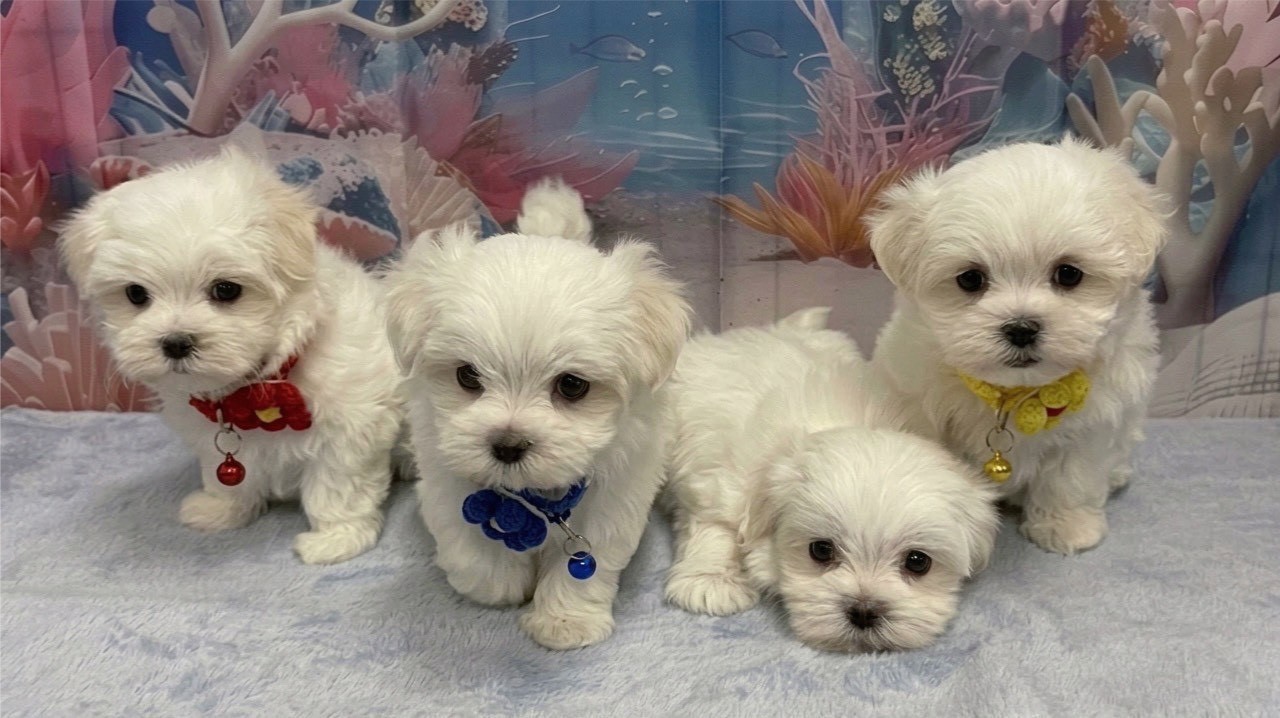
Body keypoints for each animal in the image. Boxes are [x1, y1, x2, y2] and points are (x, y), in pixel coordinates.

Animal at [58, 146, 403, 565]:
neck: (257, 390)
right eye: (136, 294)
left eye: (226, 290)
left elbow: (337, 486)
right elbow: (228, 476)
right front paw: (223, 510)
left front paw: (337, 538)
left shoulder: (351, 428)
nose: (175, 342)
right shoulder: (212, 436)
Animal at [385, 179, 692, 649]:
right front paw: (500, 585)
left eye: (572, 385)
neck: (532, 495)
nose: (508, 445)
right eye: (467, 375)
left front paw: (565, 621)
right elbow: (470, 543)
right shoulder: (444, 476)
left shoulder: (616, 495)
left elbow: (588, 560)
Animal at [663, 308, 997, 652]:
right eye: (821, 550)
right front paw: (710, 580)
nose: (864, 611)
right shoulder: (720, 481)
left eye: (918, 562)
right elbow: (714, 524)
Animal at [867, 137, 1168, 555]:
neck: (1015, 395)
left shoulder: (1093, 425)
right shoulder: (919, 408)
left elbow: (1071, 478)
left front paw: (1065, 527)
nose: (1021, 328)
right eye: (970, 279)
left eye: (1068, 274)